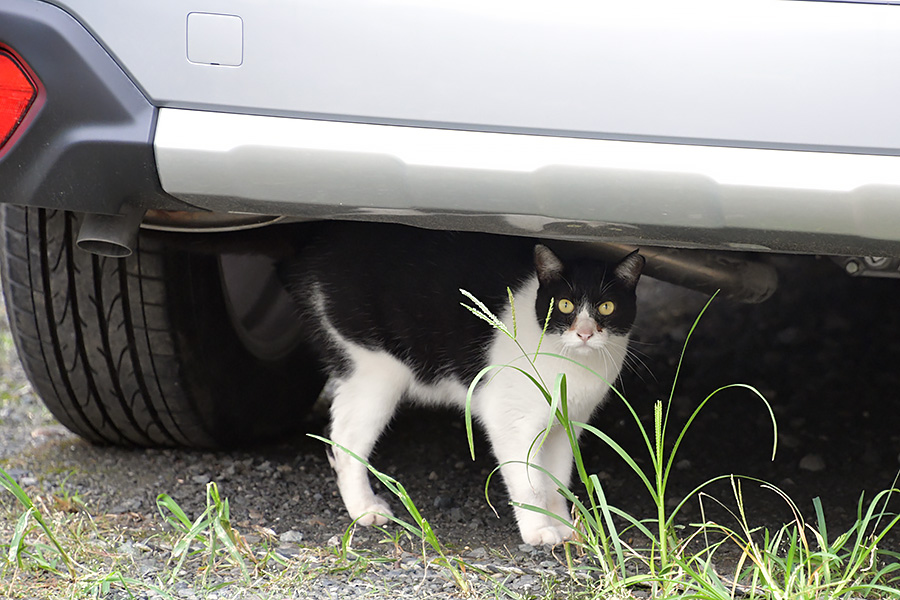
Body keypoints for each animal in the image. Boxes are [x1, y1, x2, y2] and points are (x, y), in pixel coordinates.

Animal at [282, 223, 640, 548]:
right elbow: (529, 482)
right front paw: (538, 531)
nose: (585, 333)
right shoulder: (511, 421)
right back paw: (365, 508)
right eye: (565, 305)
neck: (572, 365)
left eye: (607, 307)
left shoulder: (567, 426)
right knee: (344, 441)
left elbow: (557, 479)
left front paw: (566, 526)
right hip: (376, 372)